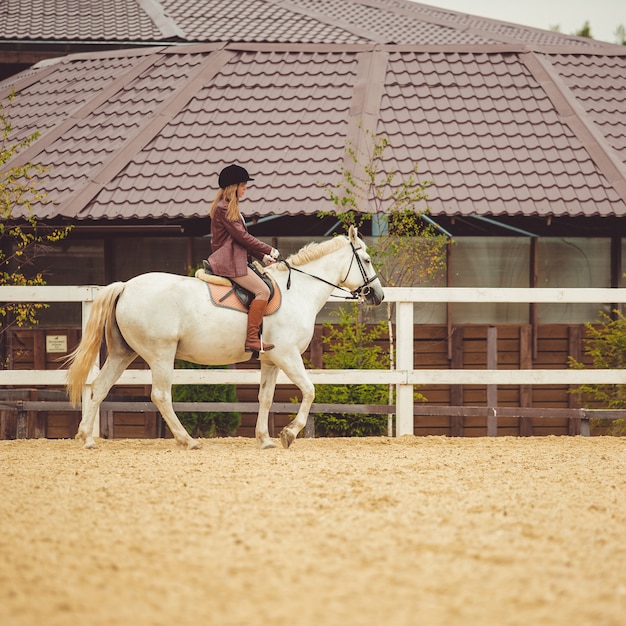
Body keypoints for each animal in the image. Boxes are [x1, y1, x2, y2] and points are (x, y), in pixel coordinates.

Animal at [66, 224, 382, 448]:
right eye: (366, 259)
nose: (378, 295)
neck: (298, 291)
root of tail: (126, 286)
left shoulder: (270, 360)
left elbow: (265, 397)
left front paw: (264, 439)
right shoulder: (287, 355)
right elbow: (309, 390)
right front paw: (289, 433)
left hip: (123, 353)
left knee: (100, 387)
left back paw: (88, 438)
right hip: (160, 354)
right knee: (161, 395)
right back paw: (187, 440)